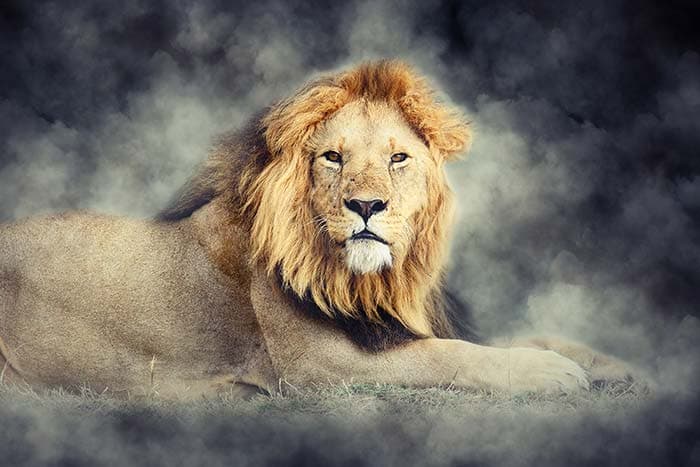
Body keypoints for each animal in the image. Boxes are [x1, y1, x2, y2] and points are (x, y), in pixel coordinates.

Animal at [0, 60, 639, 398]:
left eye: (398, 158)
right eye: (332, 157)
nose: (366, 205)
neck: (376, 281)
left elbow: (527, 336)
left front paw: (614, 365)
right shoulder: (323, 367)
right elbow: (452, 356)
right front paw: (550, 372)